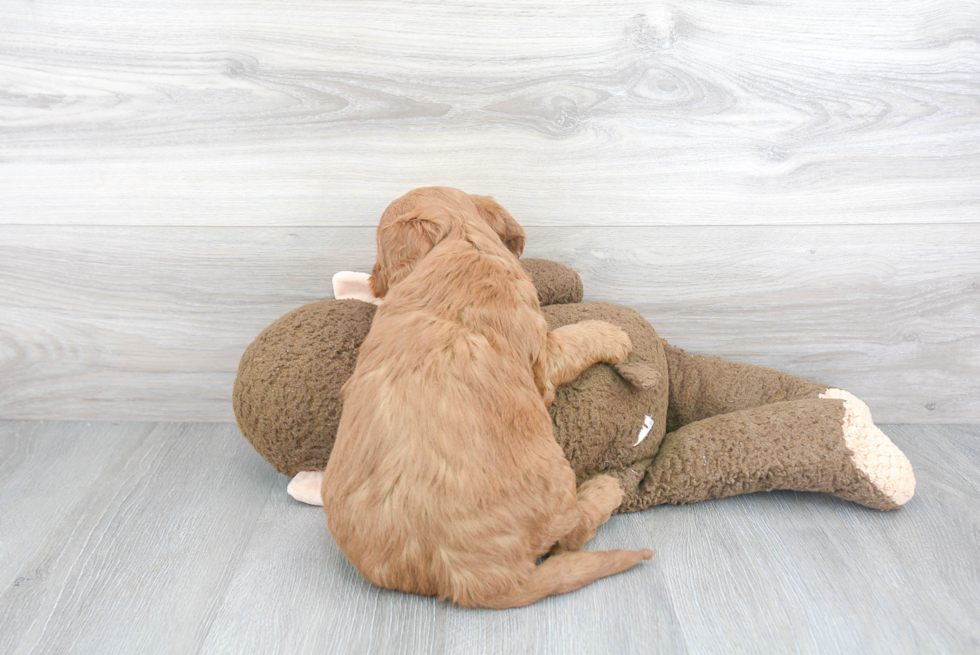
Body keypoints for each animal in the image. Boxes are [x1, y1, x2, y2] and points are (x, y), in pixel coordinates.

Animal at [322, 187, 656, 608]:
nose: (373, 282)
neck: (461, 239)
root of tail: (481, 581)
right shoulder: (544, 357)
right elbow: (577, 338)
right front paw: (613, 335)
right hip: (558, 480)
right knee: (573, 534)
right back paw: (605, 489)